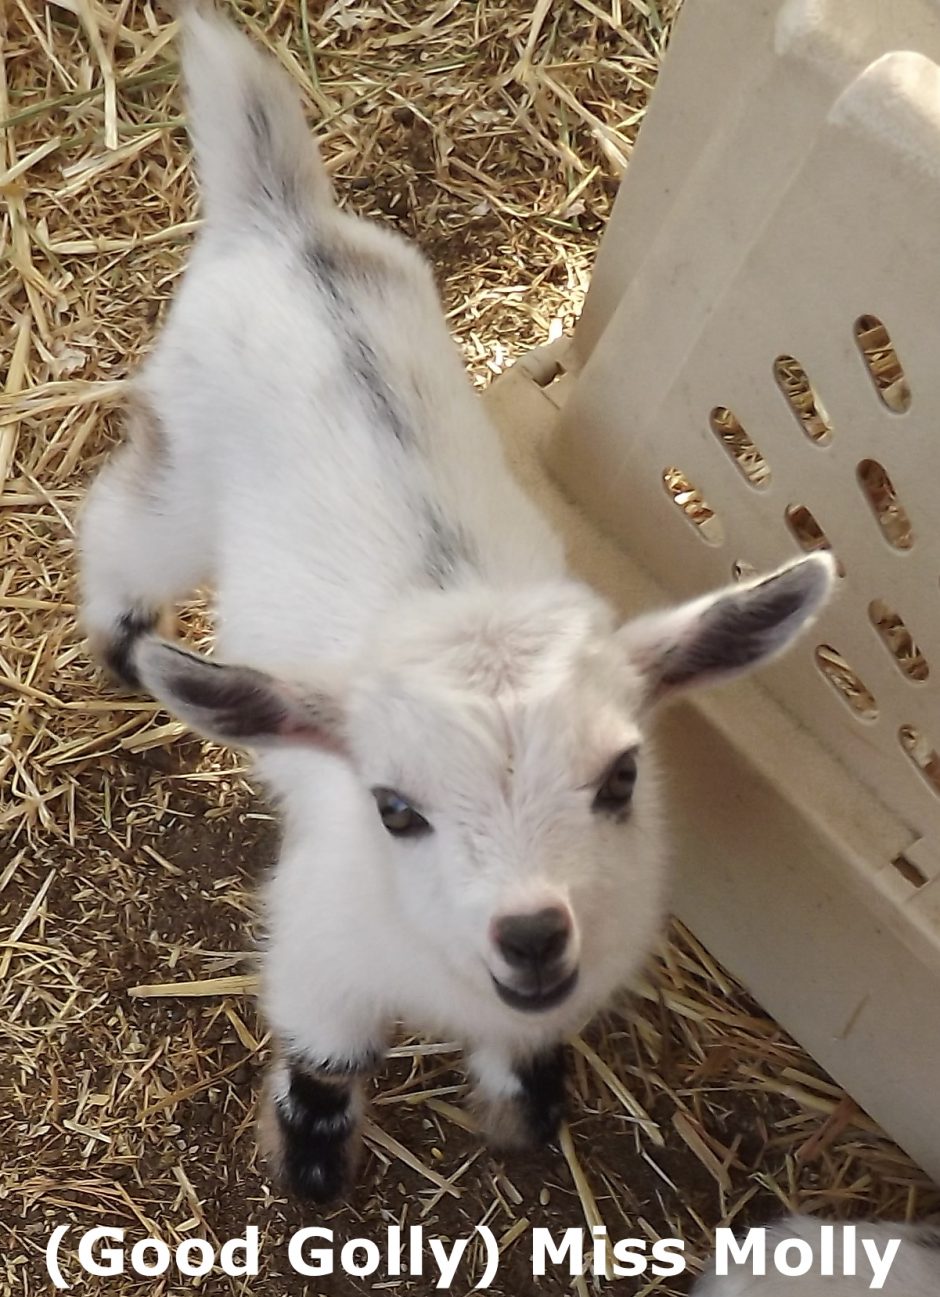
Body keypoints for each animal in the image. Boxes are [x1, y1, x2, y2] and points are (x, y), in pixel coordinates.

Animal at [77, 5, 835, 1202]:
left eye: (623, 777)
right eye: (394, 808)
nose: (531, 935)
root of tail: (285, 225)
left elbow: (526, 1043)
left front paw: (526, 1108)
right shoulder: (322, 949)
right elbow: (327, 1052)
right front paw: (310, 1164)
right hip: (185, 475)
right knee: (118, 530)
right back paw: (118, 645)